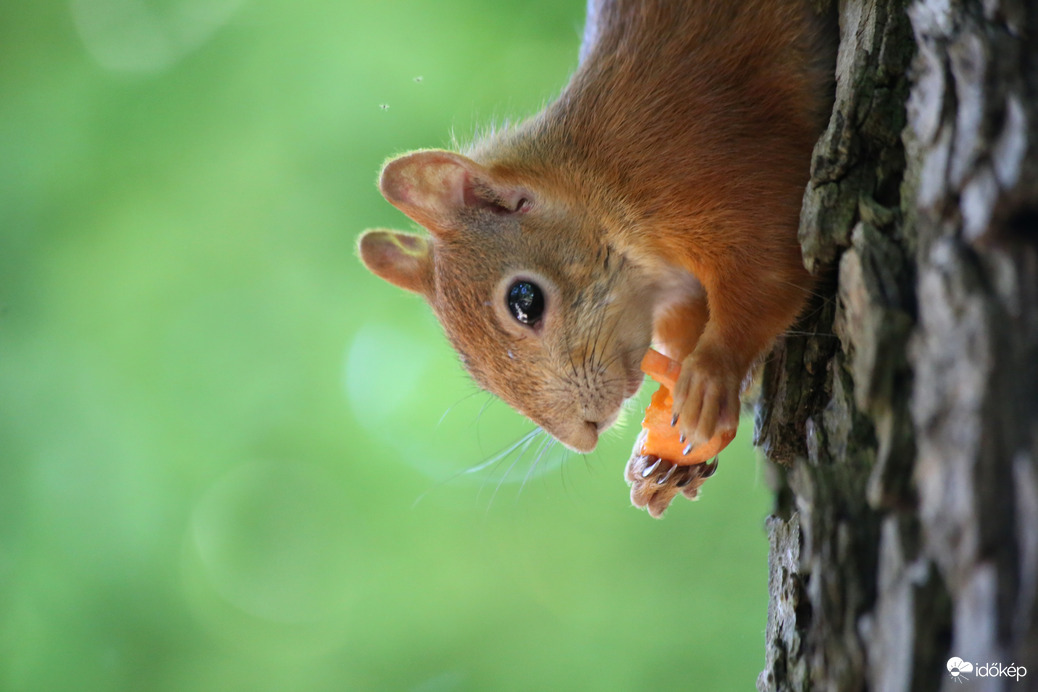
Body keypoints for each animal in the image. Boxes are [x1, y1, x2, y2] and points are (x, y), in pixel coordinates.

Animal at [361, 0, 830, 508]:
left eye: (525, 301)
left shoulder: (714, 172)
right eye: (477, 375)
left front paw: (712, 376)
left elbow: (770, 271)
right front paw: (664, 467)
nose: (583, 435)